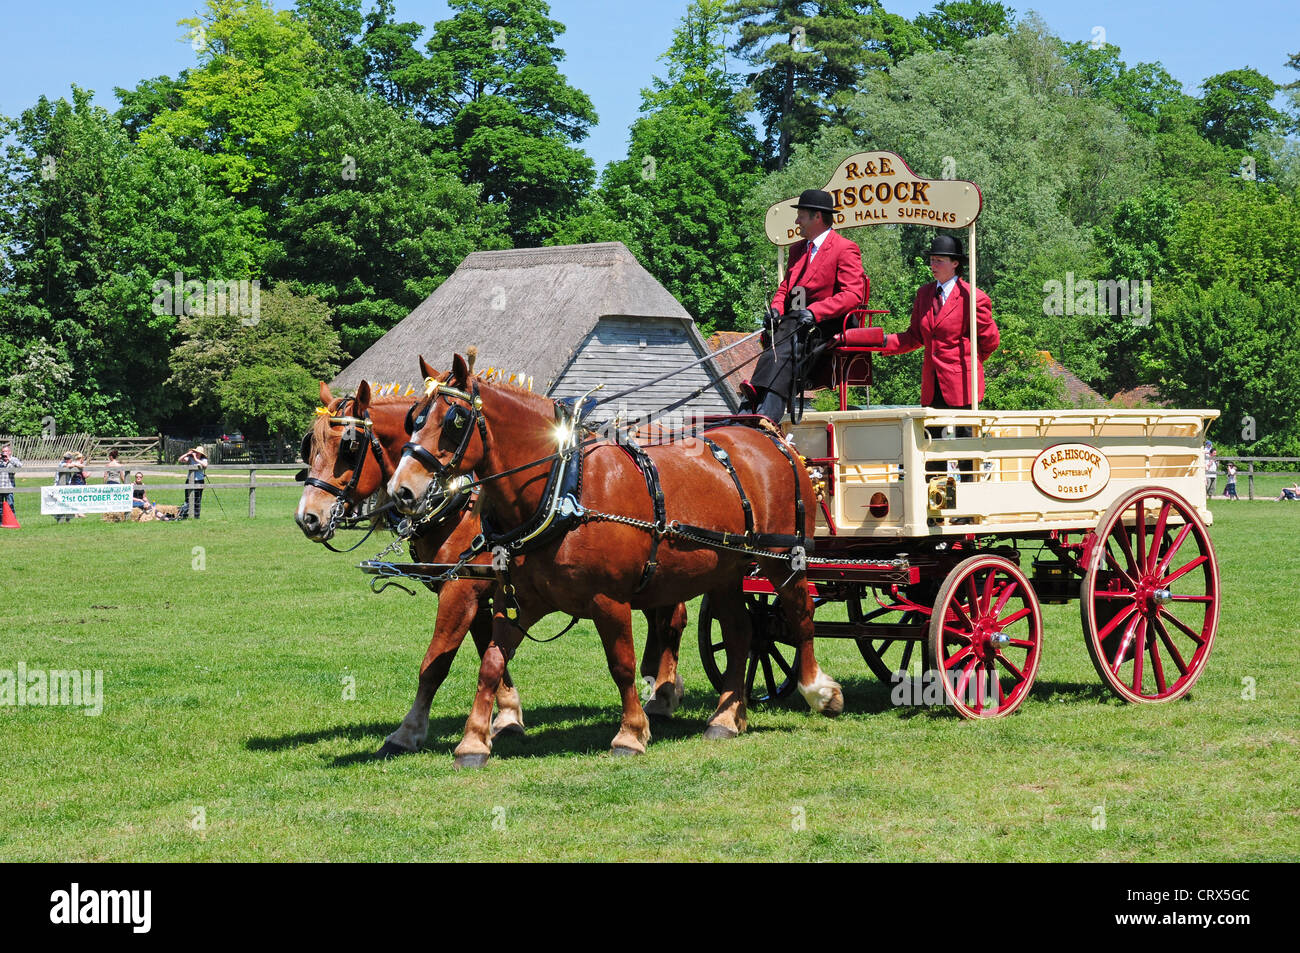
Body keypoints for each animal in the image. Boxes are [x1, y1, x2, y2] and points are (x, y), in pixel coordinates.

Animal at [297, 382, 691, 759]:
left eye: (349, 447)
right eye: (309, 447)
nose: (308, 518)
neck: (458, 499)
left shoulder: (462, 588)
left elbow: (436, 663)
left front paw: (408, 733)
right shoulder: (481, 589)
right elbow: (489, 649)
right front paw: (506, 716)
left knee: (672, 619)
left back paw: (661, 694)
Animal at [384, 356, 842, 764]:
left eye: (455, 420)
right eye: (414, 418)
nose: (401, 491)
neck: (563, 490)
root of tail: (775, 440)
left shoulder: (609, 601)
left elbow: (621, 665)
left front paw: (631, 733)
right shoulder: (517, 602)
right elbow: (491, 664)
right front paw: (474, 741)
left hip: (781, 559)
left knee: (799, 615)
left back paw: (819, 690)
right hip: (725, 571)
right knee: (741, 632)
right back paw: (727, 717)